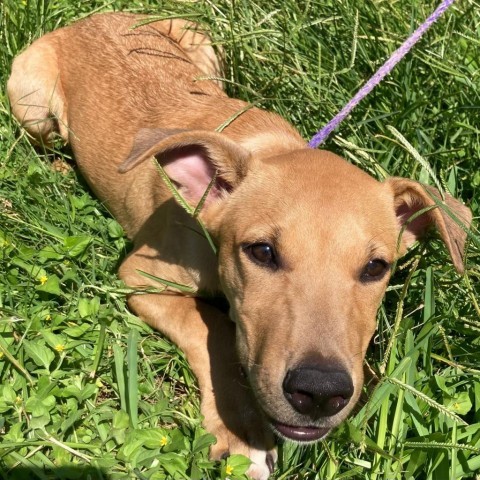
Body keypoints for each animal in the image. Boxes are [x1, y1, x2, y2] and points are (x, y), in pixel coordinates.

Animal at [7, 12, 472, 480]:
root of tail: (87, 19)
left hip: (203, 44)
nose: (321, 393)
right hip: (31, 103)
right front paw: (241, 431)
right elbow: (209, 326)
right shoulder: (140, 275)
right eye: (262, 251)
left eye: (376, 267)